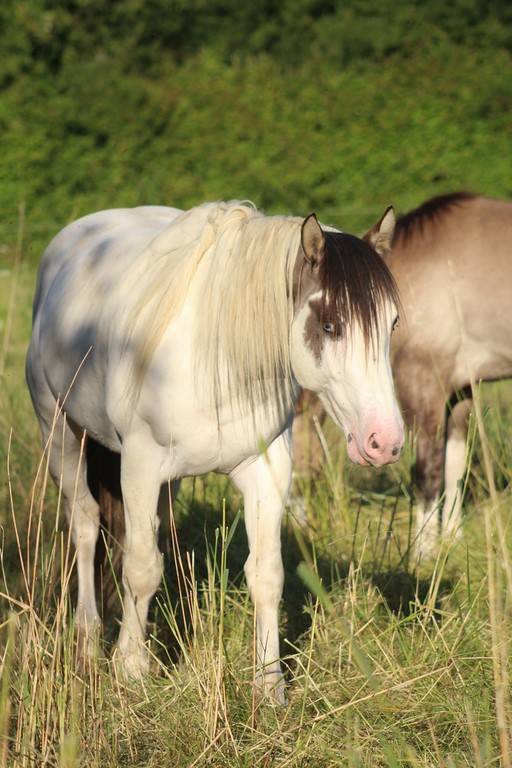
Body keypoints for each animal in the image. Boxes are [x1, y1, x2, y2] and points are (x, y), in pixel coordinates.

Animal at [26, 200, 403, 702]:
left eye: (392, 322)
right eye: (329, 324)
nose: (385, 441)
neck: (218, 358)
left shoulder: (266, 470)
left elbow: (266, 574)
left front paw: (269, 686)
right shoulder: (139, 465)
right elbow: (140, 567)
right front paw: (131, 669)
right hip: (61, 435)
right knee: (86, 524)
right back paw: (87, 638)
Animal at [293, 192, 512, 559]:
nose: (297, 525)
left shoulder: (424, 384)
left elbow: (427, 472)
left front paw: (423, 551)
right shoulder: (459, 387)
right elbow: (454, 467)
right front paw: (451, 539)